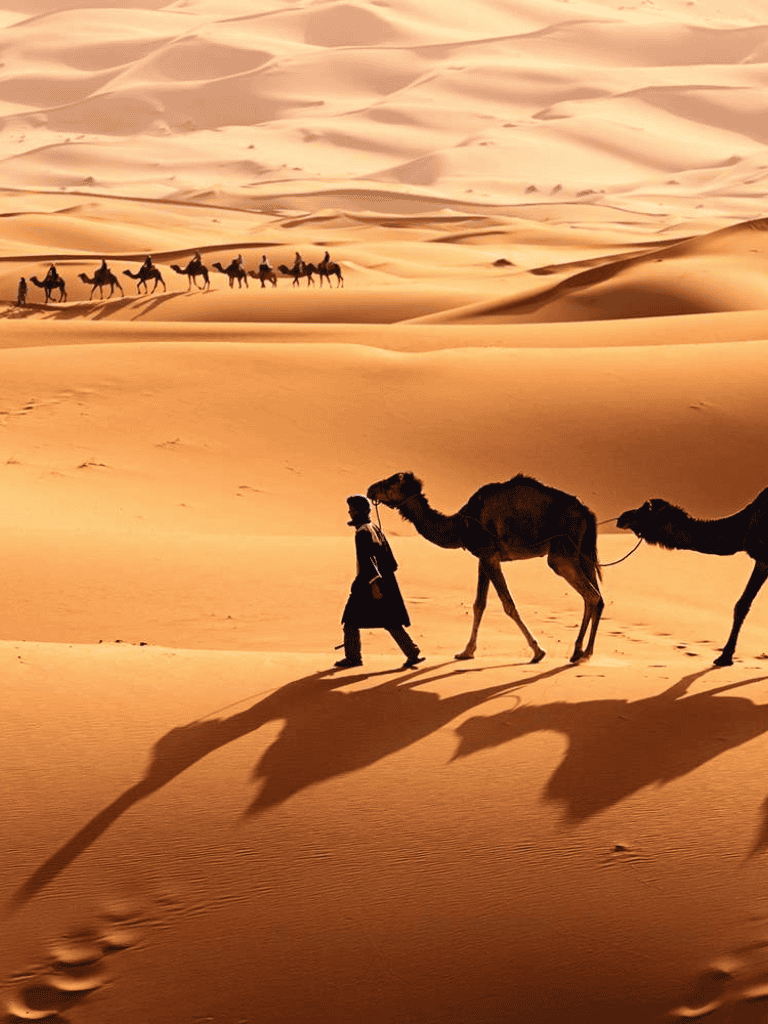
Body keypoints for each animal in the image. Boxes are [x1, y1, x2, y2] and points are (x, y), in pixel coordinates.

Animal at [367, 472, 604, 664]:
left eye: (392, 482)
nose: (370, 489)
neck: (460, 524)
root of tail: (587, 512)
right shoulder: (484, 558)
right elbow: (479, 604)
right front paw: (466, 651)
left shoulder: (489, 555)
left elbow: (508, 605)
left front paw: (538, 651)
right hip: (583, 552)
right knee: (596, 598)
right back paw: (582, 652)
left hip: (561, 554)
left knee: (591, 595)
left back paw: (582, 653)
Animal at [617, 489, 768, 666]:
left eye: (644, 511)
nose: (622, 517)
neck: (744, 525)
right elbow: (743, 605)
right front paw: (726, 656)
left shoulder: (763, 557)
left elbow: (743, 605)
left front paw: (724, 657)